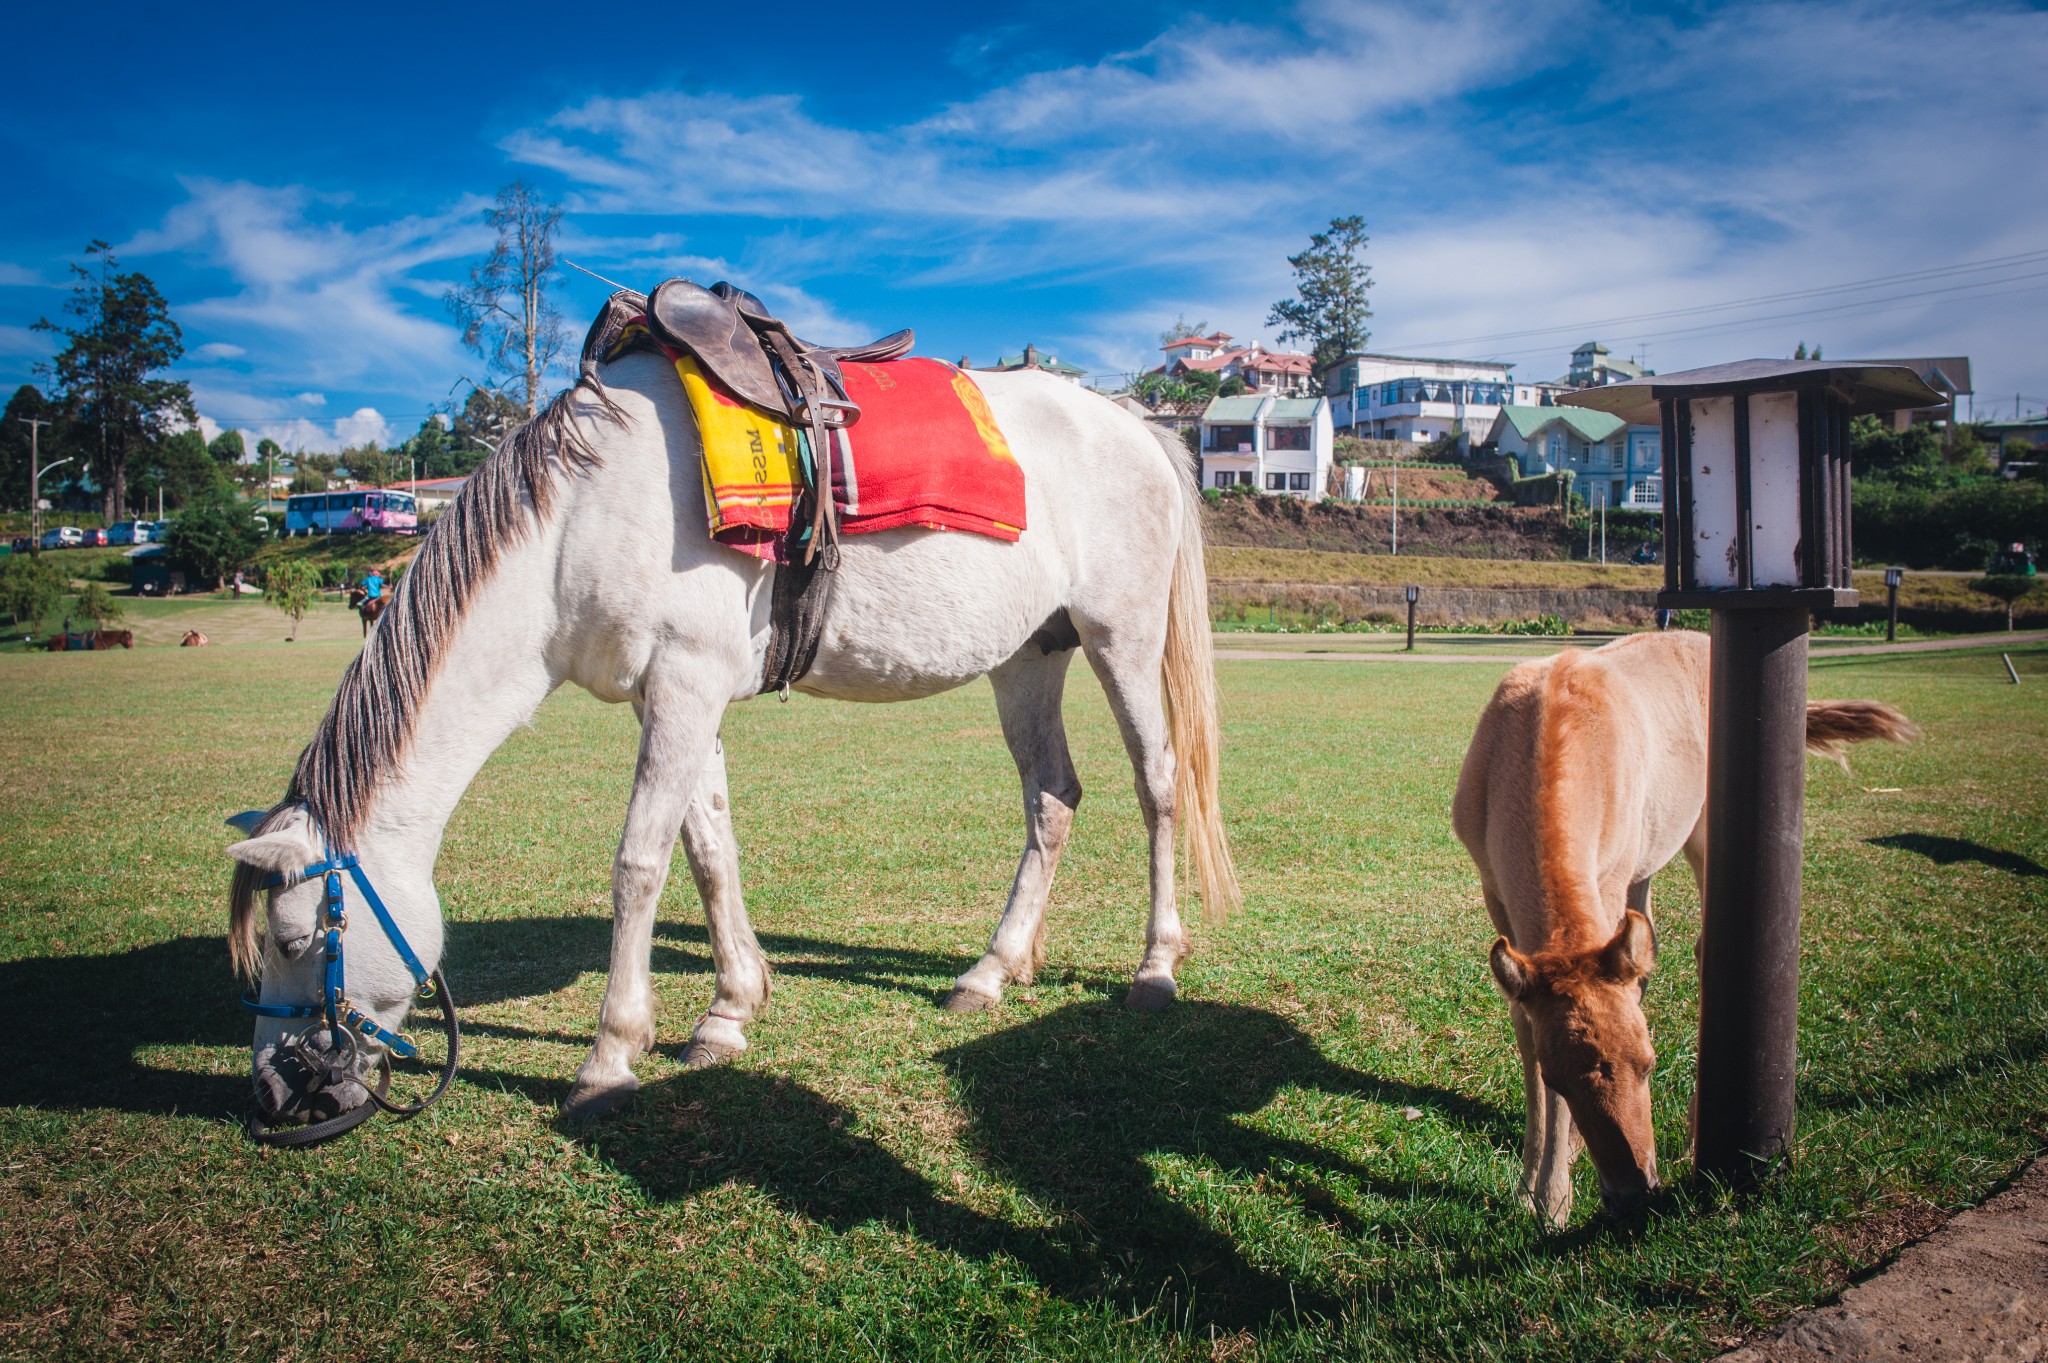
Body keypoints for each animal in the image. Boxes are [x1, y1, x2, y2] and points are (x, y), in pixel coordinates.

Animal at [230, 349, 1236, 1121]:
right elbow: (709, 847)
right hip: (1030, 656)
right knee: (1052, 797)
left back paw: (1155, 966)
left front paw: (610, 1056)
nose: (277, 1092)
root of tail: (1134, 425)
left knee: (1158, 783)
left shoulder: (685, 681)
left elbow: (639, 863)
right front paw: (728, 1009)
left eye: (295, 941)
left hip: (1122, 637)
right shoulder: (675, 695)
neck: (582, 517)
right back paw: (995, 967)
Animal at [1449, 630, 1908, 1227]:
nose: (1634, 1195)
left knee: (1704, 947)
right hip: (1645, 865)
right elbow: (1525, 1027)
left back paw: (1699, 1138)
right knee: (1647, 958)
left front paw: (1553, 1198)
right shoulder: (1493, 886)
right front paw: (1539, 1188)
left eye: (1648, 1064)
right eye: (1556, 1078)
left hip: (1701, 832)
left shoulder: (1612, 870)